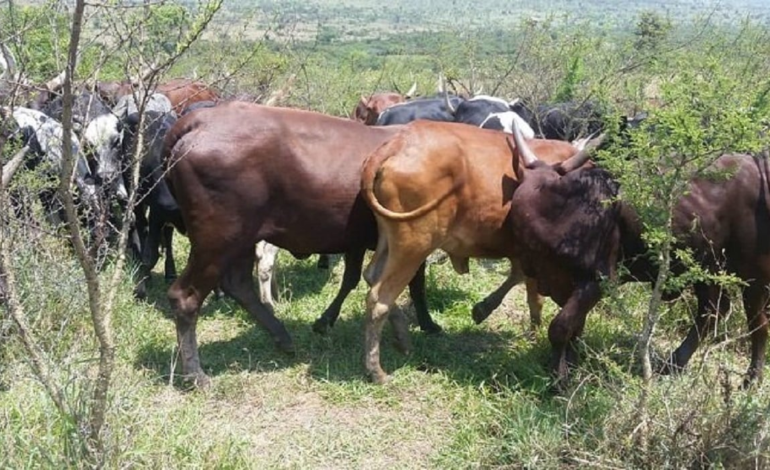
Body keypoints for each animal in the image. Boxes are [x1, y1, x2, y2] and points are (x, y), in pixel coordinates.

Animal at [163, 102, 440, 386]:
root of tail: (201, 118)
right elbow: (414, 285)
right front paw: (427, 324)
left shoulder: (360, 242)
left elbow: (359, 279)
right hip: (217, 241)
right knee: (186, 297)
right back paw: (195, 373)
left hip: (241, 239)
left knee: (238, 284)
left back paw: (282, 337)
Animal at [356, 119, 596, 384]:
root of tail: (400, 142)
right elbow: (534, 296)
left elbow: (524, 284)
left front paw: (485, 310)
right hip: (414, 245)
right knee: (379, 298)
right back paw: (376, 370)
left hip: (389, 238)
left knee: (371, 276)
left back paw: (402, 338)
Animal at [504, 123, 768, 388]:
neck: (558, 212)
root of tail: (757, 166)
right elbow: (574, 328)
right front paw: (567, 367)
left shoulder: (598, 280)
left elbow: (560, 328)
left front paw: (560, 380)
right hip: (707, 269)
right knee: (712, 310)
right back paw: (674, 364)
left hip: (752, 275)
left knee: (757, 323)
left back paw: (751, 379)